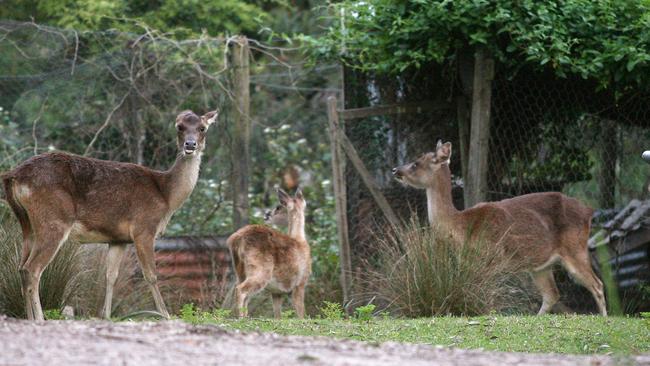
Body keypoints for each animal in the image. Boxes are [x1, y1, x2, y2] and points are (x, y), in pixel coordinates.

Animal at [0, 109, 219, 320]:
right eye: (179, 127)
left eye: (202, 128)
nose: (190, 145)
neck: (166, 195)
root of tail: (13, 175)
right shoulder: (144, 228)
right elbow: (151, 275)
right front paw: (165, 315)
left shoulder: (117, 239)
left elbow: (110, 276)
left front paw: (105, 315)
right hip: (54, 219)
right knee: (33, 269)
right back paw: (40, 318)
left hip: (27, 223)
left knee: (21, 268)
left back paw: (28, 317)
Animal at [227, 189, 310, 318]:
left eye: (278, 207)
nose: (267, 214)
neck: (300, 240)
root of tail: (235, 239)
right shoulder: (300, 281)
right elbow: (301, 313)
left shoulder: (276, 292)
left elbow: (278, 316)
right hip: (260, 269)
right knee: (241, 290)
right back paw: (241, 318)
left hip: (239, 270)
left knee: (242, 293)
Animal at [390, 140, 608, 314]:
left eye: (416, 163)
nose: (395, 170)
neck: (461, 226)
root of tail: (589, 211)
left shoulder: (492, 256)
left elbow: (485, 290)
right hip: (540, 265)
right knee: (552, 294)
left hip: (575, 249)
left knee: (597, 284)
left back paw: (604, 318)